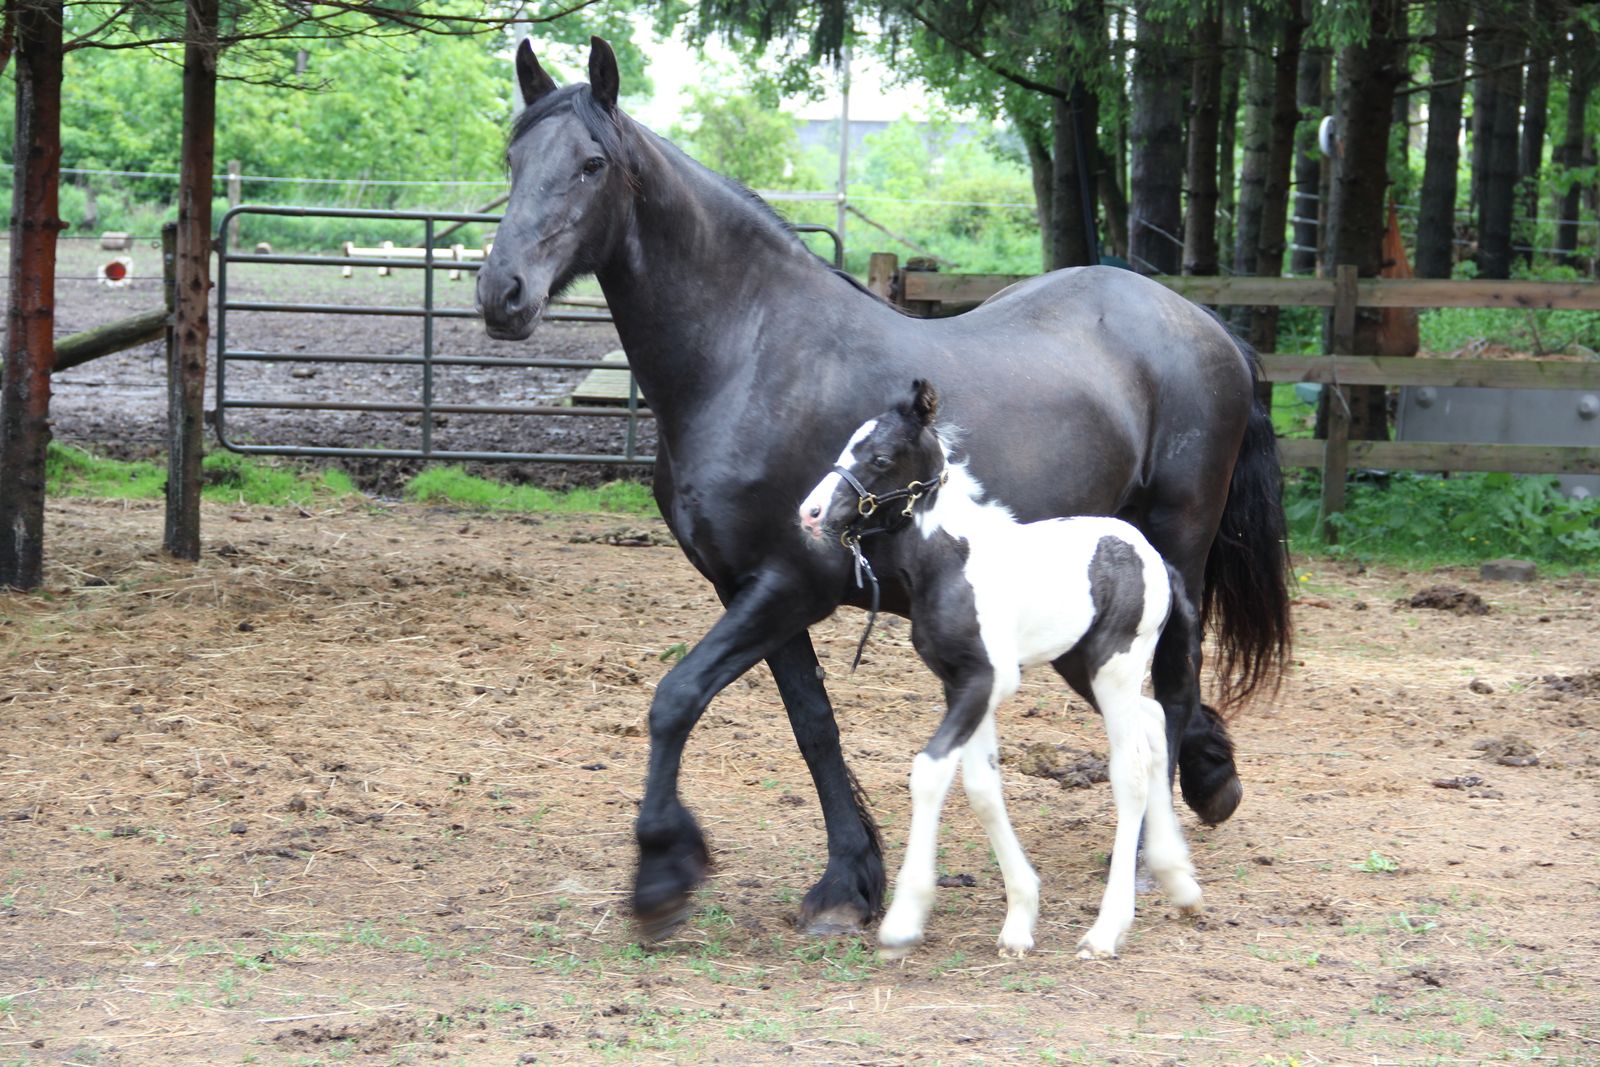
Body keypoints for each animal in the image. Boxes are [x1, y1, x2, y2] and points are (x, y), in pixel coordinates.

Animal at [797, 380, 1202, 959]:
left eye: (880, 458)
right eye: (846, 443)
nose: (810, 513)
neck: (952, 561)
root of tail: (1153, 554)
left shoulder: (988, 680)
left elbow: (929, 772)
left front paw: (904, 920)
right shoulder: (960, 684)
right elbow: (983, 789)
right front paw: (1019, 919)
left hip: (1115, 667)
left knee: (1131, 770)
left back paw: (1107, 930)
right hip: (1080, 666)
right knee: (1153, 720)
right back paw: (1179, 879)